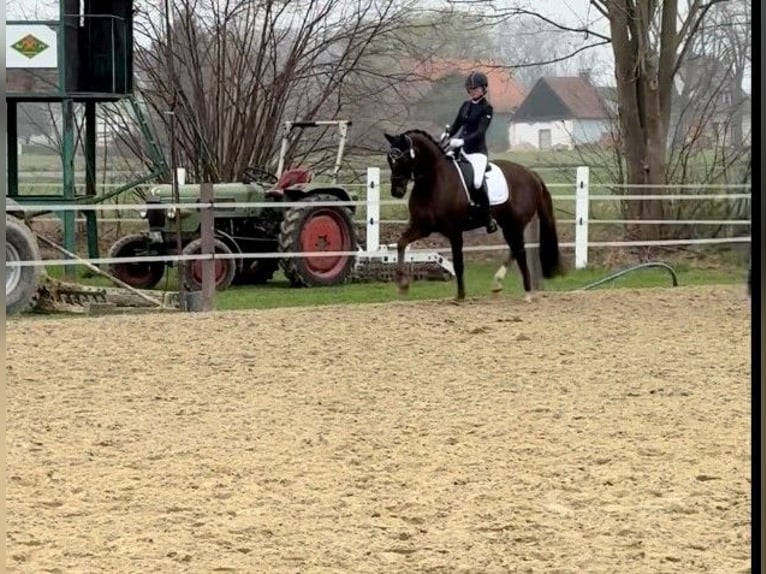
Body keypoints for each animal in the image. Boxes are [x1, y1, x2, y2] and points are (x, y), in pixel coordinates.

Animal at [388, 129, 568, 302]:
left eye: (402, 159)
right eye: (390, 160)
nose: (397, 191)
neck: (433, 181)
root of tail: (531, 173)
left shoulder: (454, 231)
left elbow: (458, 262)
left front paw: (460, 295)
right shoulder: (422, 227)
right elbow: (401, 243)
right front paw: (402, 285)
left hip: (515, 224)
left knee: (519, 251)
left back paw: (527, 293)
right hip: (508, 224)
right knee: (515, 249)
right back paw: (498, 284)